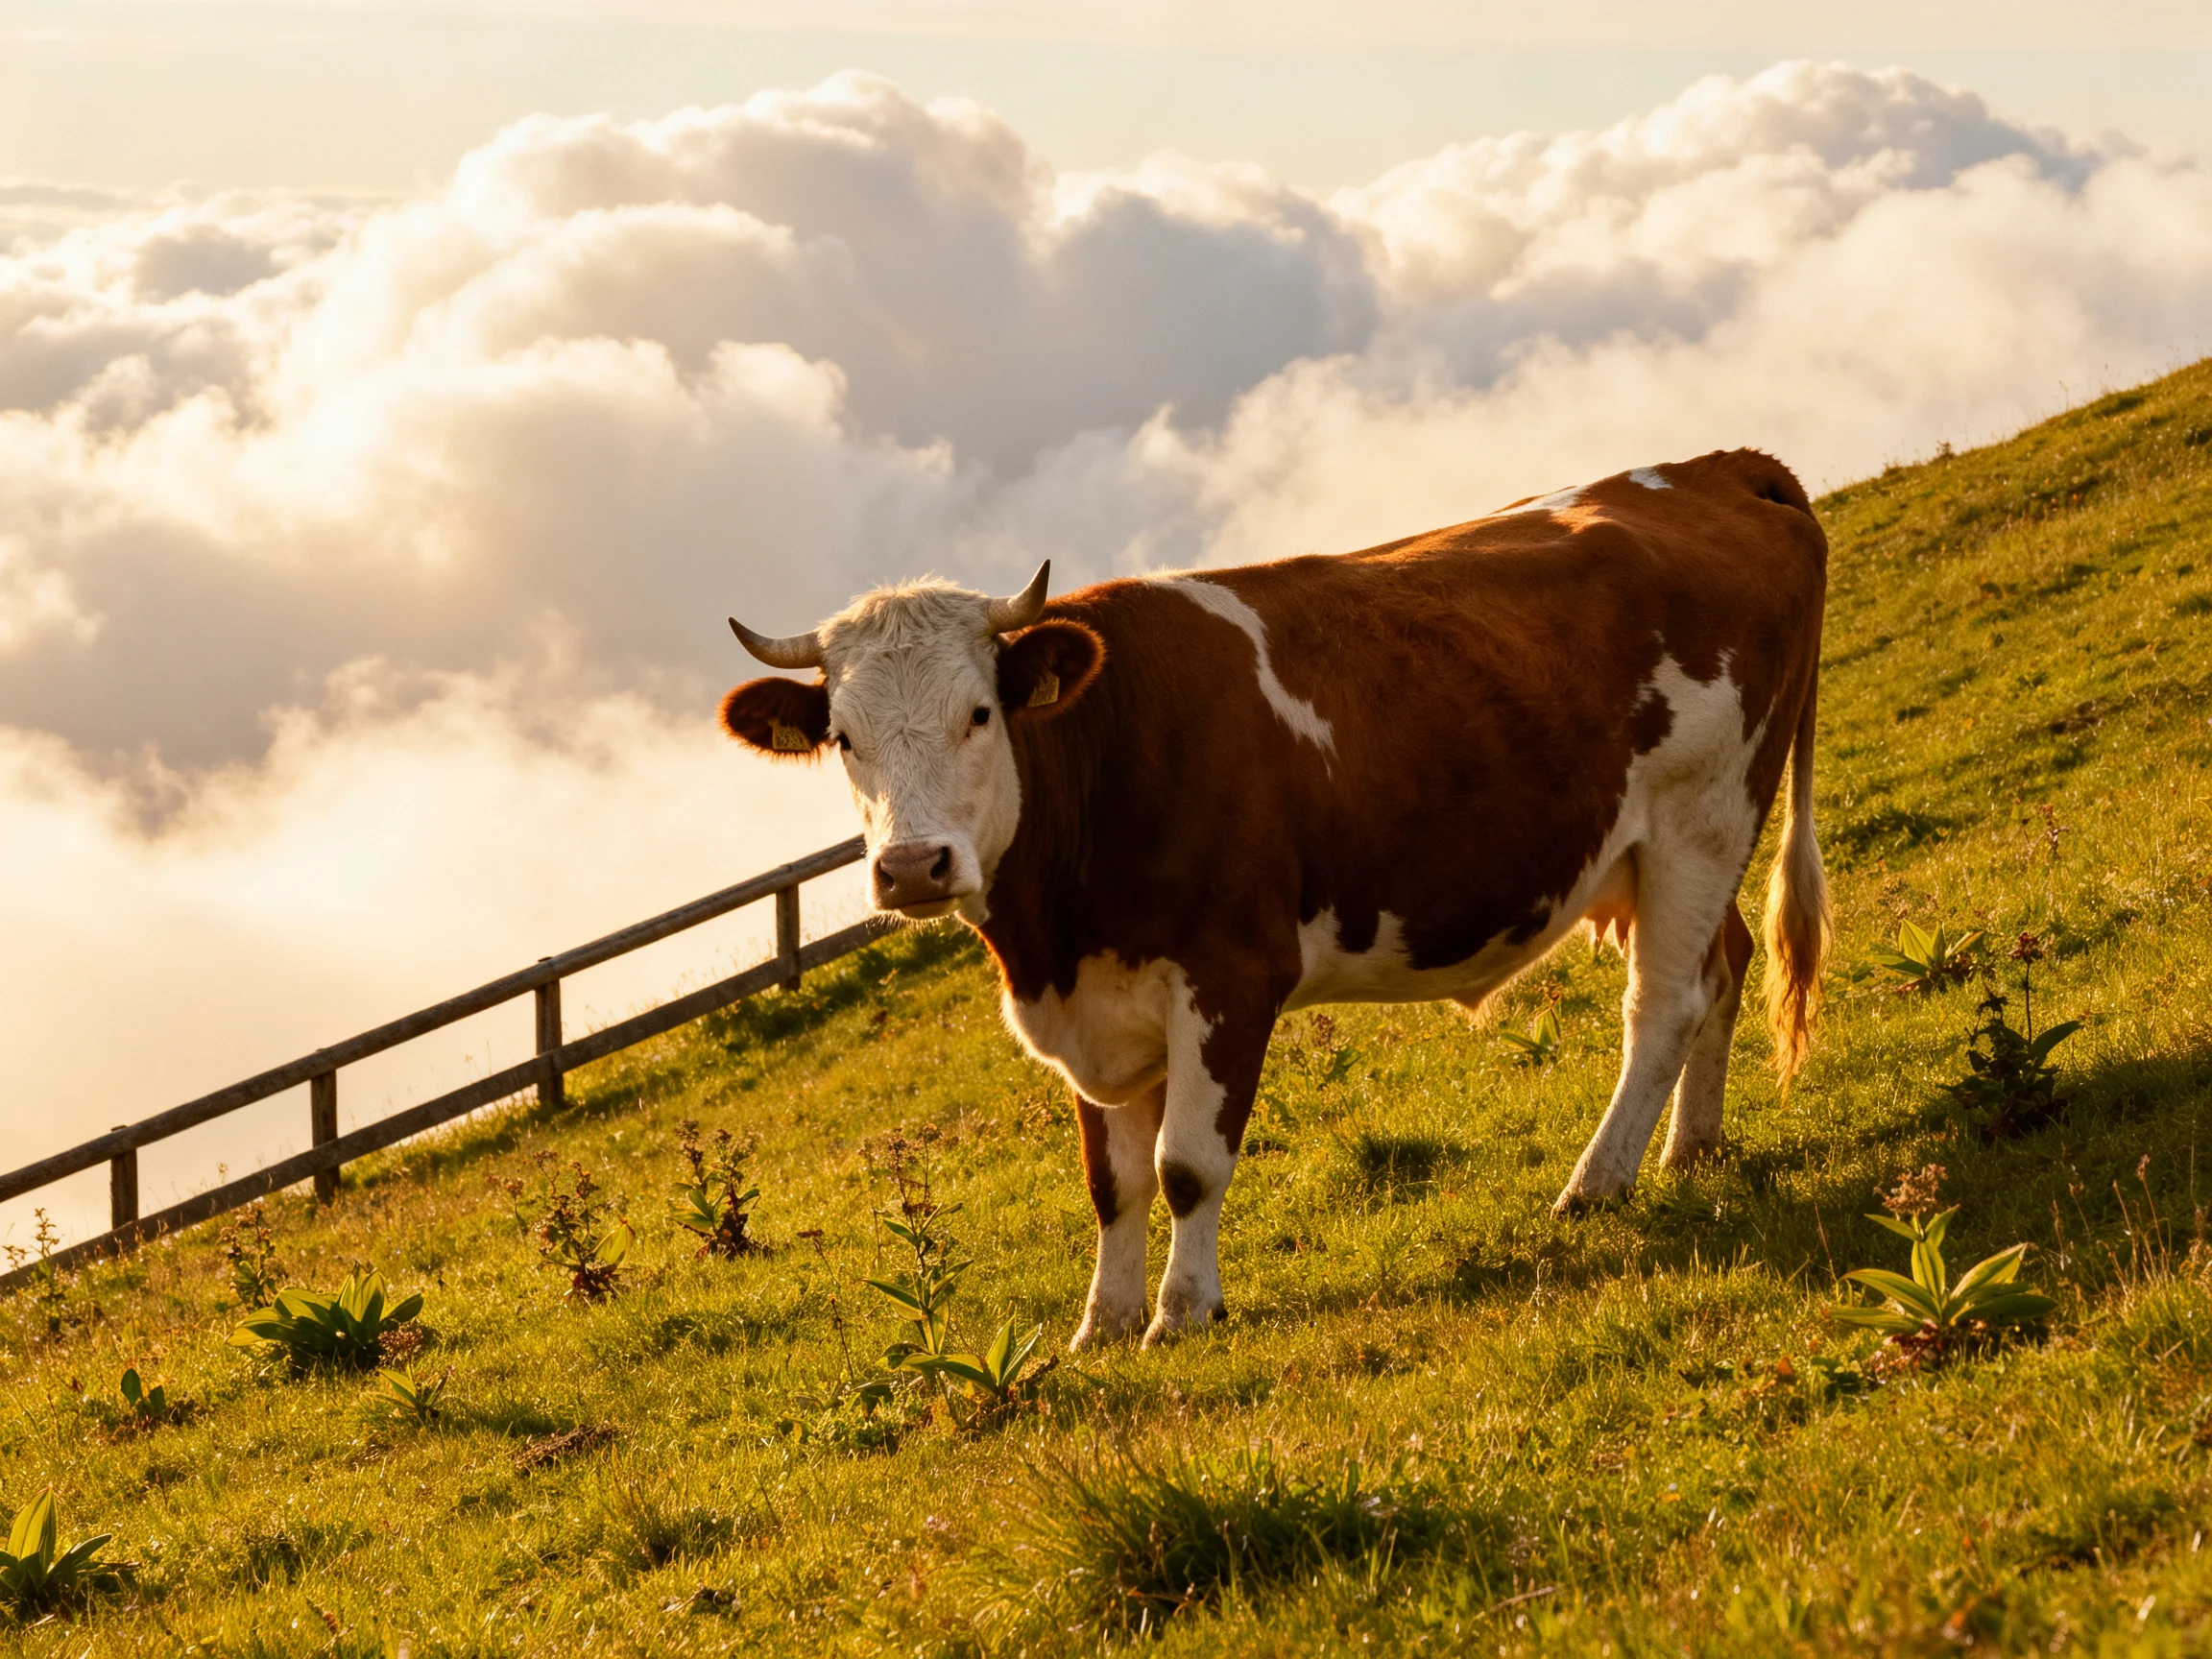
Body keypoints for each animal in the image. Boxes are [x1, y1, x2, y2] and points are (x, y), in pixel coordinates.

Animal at [719, 448, 1830, 1349]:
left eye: (981, 713)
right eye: (845, 737)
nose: (914, 867)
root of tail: (1716, 467)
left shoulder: (1230, 972)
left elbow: (1185, 1165)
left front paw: (1181, 1312)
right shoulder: (1098, 1005)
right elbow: (1111, 1182)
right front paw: (1101, 1325)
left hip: (1703, 811)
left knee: (1664, 1005)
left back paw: (1597, 1183)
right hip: (1654, 851)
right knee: (1722, 967)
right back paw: (1691, 1149)